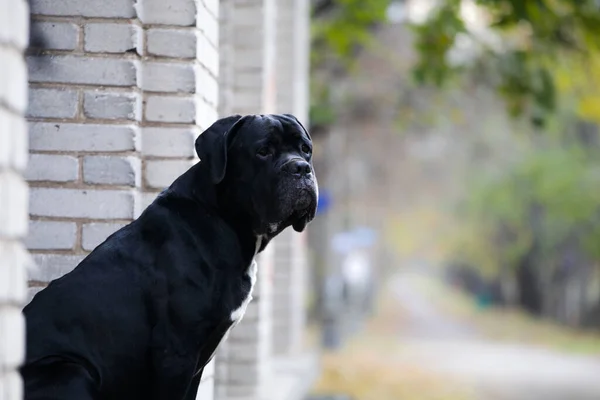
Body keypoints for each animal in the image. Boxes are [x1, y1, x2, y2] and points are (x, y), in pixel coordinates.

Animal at [20, 113, 318, 400]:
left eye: (306, 150)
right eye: (263, 151)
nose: (301, 168)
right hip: (71, 371)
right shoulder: (175, 353)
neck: (223, 217)